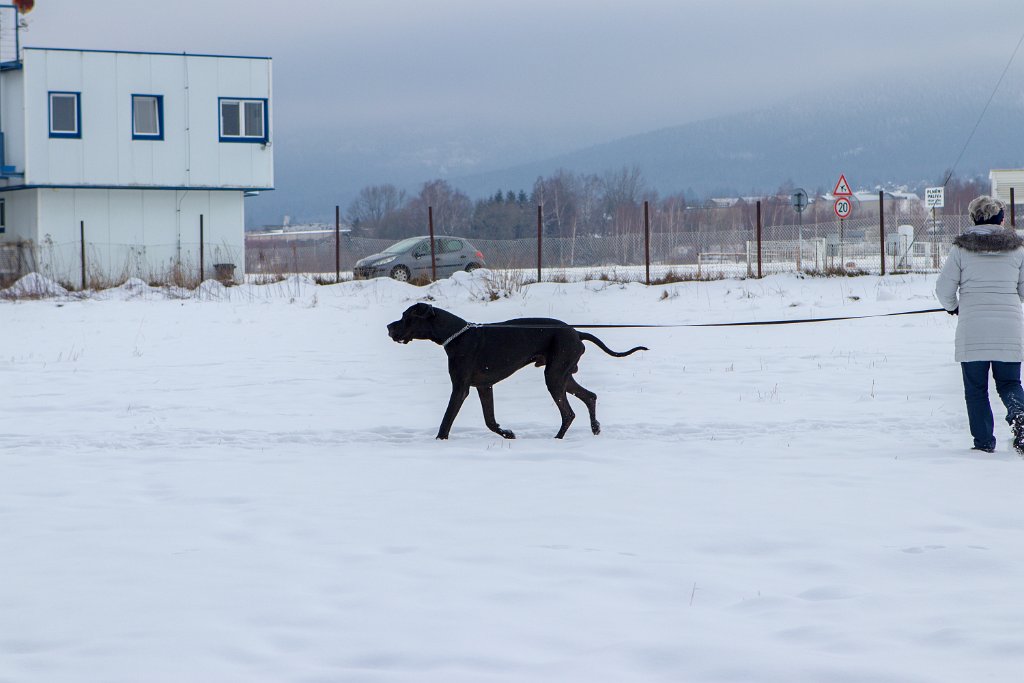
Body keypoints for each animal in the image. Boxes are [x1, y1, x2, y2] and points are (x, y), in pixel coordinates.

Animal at [387, 303, 643, 440]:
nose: (389, 327)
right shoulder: (484, 386)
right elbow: (489, 420)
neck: (456, 335)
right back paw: (595, 428)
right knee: (590, 396)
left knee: (569, 413)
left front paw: (439, 441)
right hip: (563, 375)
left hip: (554, 376)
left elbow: (447, 419)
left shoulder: (460, 387)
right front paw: (507, 433)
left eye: (406, 316)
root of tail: (577, 332)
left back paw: (557, 440)